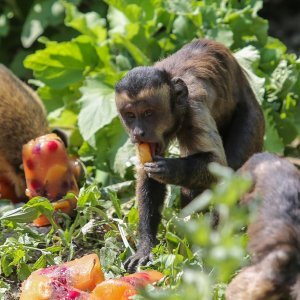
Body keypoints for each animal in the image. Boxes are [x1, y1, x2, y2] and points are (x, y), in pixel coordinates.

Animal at [115, 38, 264, 272]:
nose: (138, 132)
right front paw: (145, 246)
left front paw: (170, 168)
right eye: (130, 115)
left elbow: (216, 165)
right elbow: (147, 176)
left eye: (148, 113)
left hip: (253, 119)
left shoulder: (195, 107)